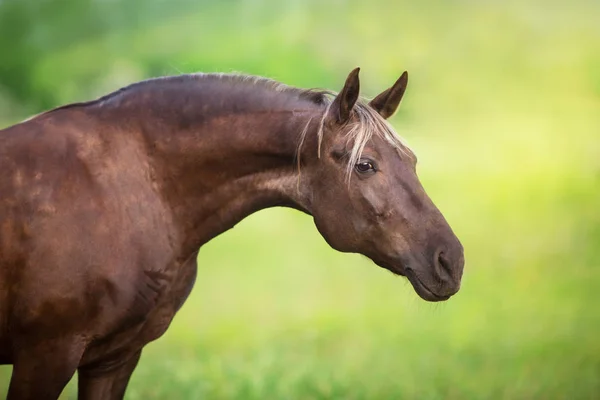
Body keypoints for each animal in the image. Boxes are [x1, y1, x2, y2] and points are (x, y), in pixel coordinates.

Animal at [0, 67, 464, 398]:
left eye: (412, 160)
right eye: (365, 165)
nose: (451, 261)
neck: (134, 188)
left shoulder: (113, 359)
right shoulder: (46, 356)